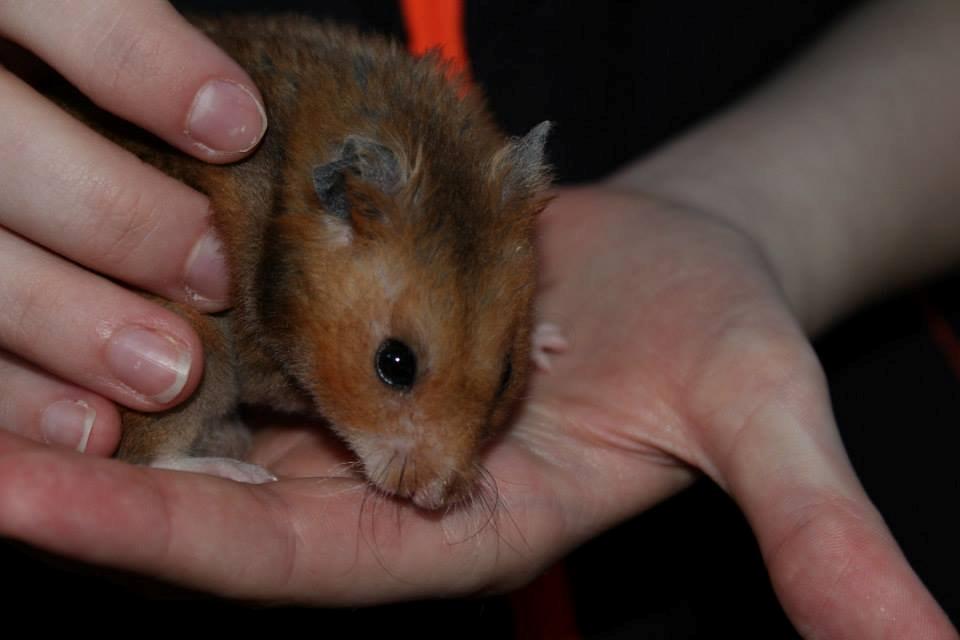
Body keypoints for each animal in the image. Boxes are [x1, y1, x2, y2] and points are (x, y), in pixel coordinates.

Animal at [57, 15, 556, 510]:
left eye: (507, 374)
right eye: (395, 364)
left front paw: (549, 342)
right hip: (190, 354)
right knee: (146, 454)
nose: (435, 498)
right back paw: (239, 471)